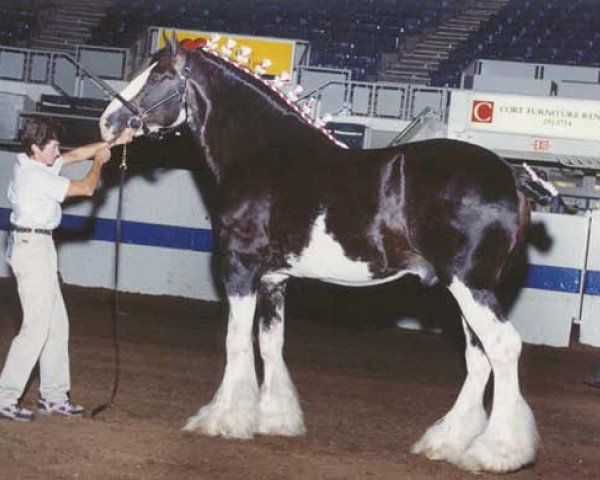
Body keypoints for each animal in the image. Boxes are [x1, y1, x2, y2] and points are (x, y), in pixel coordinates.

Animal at [99, 35, 540, 474]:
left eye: (159, 75)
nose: (108, 121)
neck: (261, 155)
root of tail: (511, 178)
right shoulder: (274, 279)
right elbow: (270, 343)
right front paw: (275, 419)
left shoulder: (240, 269)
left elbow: (236, 341)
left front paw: (222, 419)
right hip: (467, 289)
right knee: (479, 356)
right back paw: (447, 443)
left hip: (469, 284)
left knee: (503, 347)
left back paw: (496, 452)